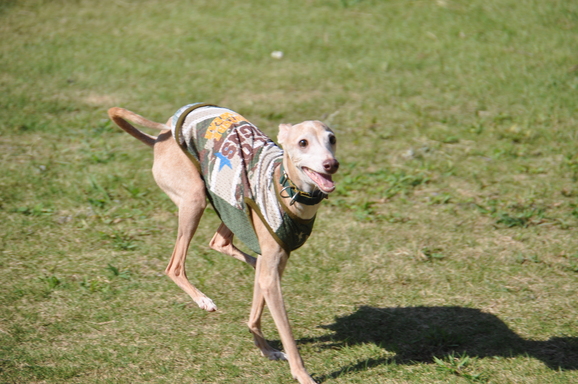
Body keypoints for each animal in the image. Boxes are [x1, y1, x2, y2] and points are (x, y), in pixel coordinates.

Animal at [107, 103, 338, 384]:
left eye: (332, 139)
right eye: (303, 142)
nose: (331, 164)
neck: (285, 187)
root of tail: (161, 134)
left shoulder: (273, 265)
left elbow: (255, 315)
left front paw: (266, 349)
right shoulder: (271, 276)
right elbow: (288, 336)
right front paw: (302, 374)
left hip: (231, 202)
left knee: (221, 243)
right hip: (195, 199)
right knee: (175, 266)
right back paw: (203, 299)